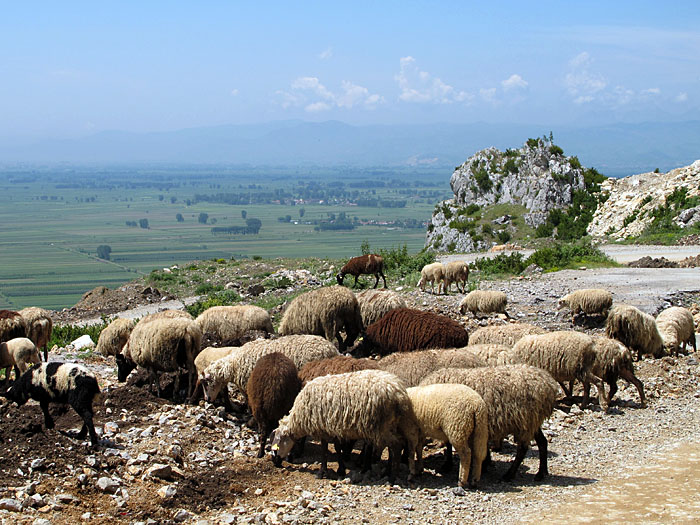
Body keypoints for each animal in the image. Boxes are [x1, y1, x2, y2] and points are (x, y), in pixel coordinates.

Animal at [270, 369, 422, 482]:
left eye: (277, 443)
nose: (275, 462)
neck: (300, 417)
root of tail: (398, 392)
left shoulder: (322, 427)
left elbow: (324, 450)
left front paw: (322, 472)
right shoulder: (333, 427)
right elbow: (337, 448)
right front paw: (341, 469)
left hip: (382, 426)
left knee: (396, 446)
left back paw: (392, 477)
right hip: (392, 424)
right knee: (395, 446)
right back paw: (388, 472)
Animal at [420, 365, 559, 482]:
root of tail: (549, 383)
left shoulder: (450, 420)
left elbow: (448, 445)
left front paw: (447, 465)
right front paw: (486, 463)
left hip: (526, 422)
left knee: (523, 449)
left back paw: (509, 475)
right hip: (532, 422)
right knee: (542, 442)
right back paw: (541, 473)